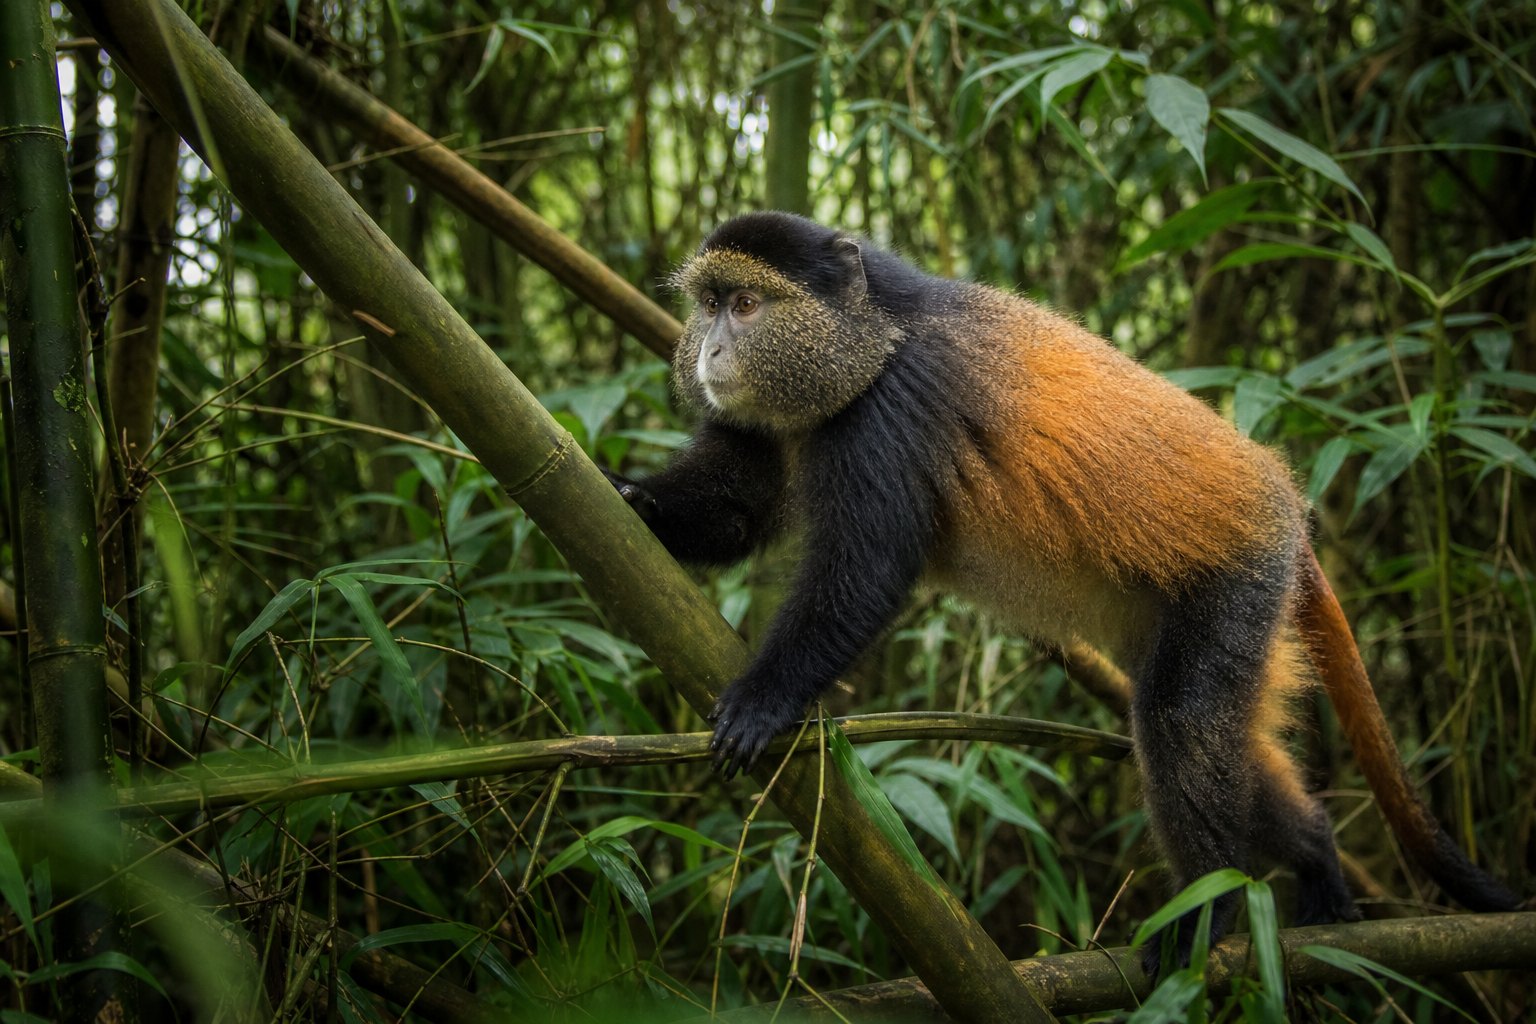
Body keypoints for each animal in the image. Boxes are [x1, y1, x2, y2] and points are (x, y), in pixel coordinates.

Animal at [604, 211, 1519, 966]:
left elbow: (864, 570)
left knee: (1181, 724)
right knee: (1233, 749)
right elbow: (738, 504)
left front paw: (764, 700)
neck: (872, 336)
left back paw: (1209, 916)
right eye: (708, 303)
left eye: (747, 305)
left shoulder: (891, 412)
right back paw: (1320, 862)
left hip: (1240, 583)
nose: (710, 351)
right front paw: (620, 500)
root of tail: (1284, 502)